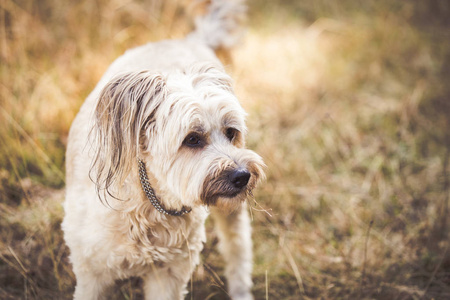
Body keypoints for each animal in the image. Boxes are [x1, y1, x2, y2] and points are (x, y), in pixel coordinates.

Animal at [62, 0, 264, 300]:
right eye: (192, 139)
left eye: (231, 133)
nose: (242, 176)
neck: (148, 201)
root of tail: (190, 39)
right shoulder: (91, 272)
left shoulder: (168, 274)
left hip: (232, 213)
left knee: (237, 246)